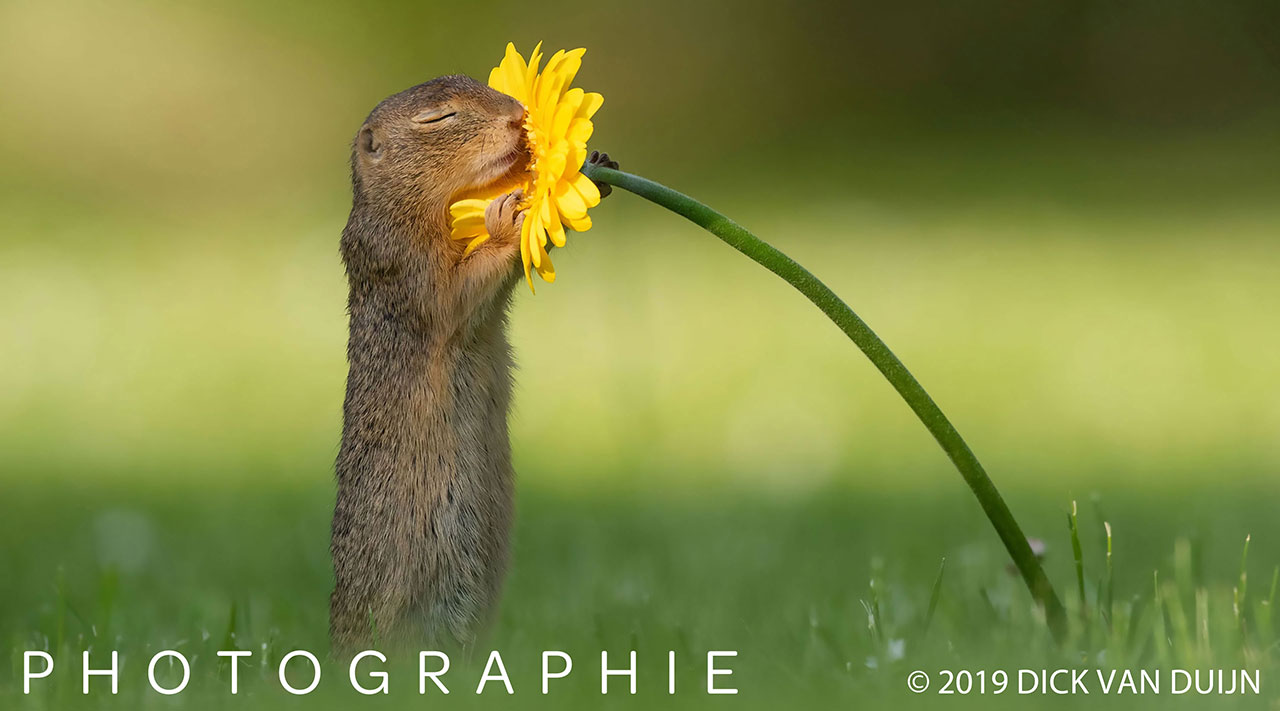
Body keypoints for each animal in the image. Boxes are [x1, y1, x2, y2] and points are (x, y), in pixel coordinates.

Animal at [327, 75, 611, 653]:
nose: (517, 117)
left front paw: (592, 163)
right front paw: (506, 219)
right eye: (439, 117)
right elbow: (457, 293)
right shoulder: (406, 265)